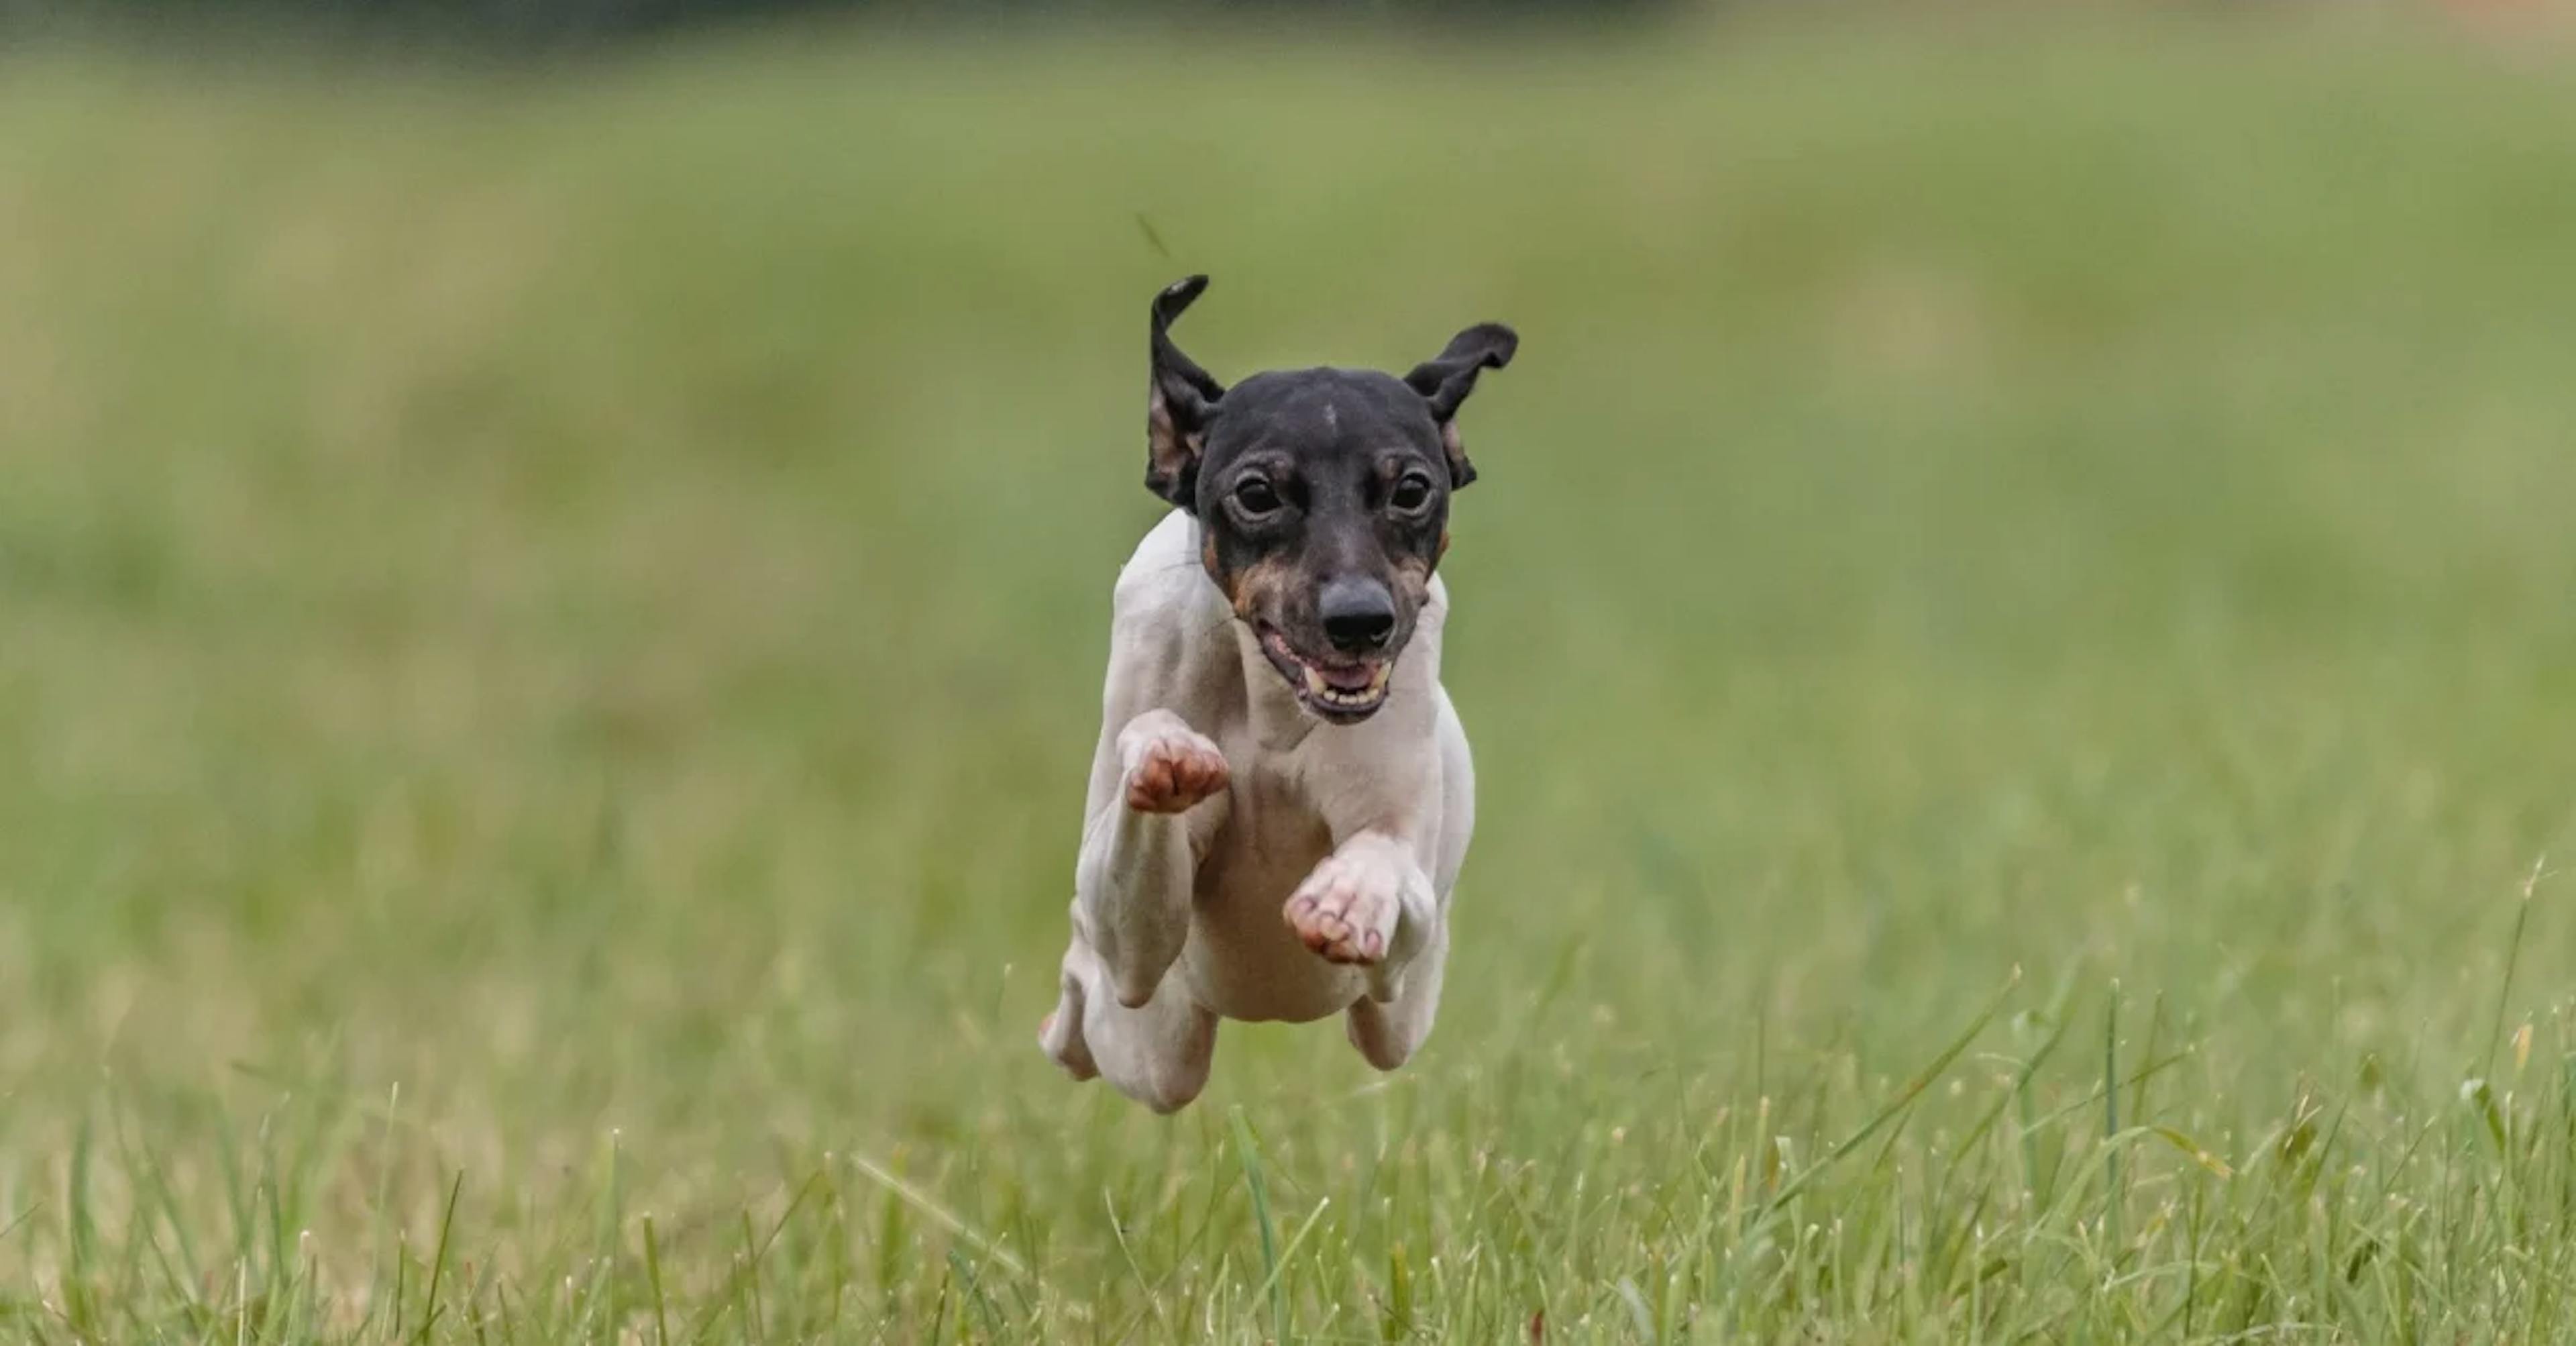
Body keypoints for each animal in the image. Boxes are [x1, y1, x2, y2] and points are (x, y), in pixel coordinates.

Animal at [1040, 274, 1514, 1108]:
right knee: (1090, 994)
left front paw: (1349, 894)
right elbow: (1124, 910)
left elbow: (1391, 867)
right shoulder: (1135, 944)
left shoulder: (1400, 947)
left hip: (1398, 1017)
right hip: (1154, 1044)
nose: (1360, 621)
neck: (1270, 707)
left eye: (1412, 488)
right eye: (1257, 492)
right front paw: (1165, 753)